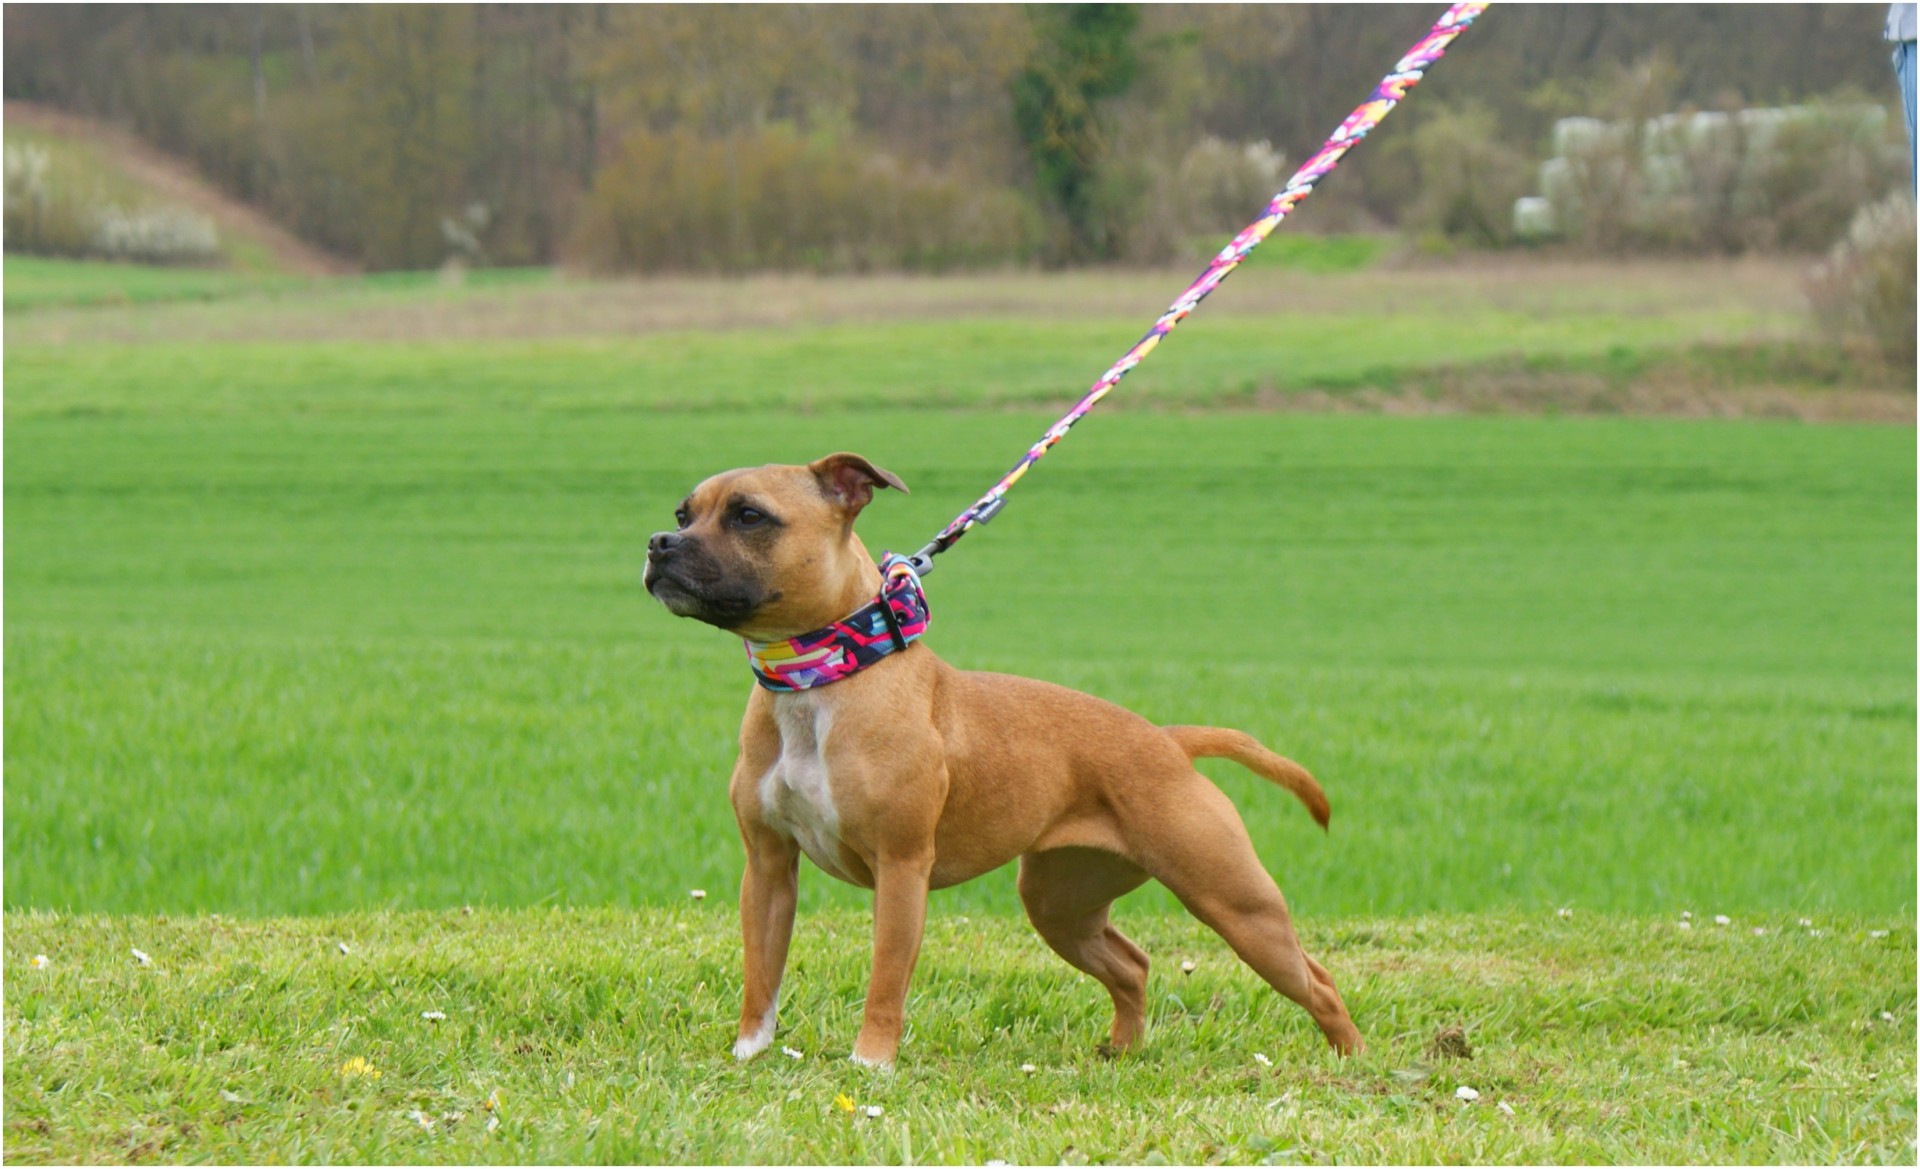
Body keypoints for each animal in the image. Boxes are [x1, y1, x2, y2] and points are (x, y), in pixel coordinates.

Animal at [648, 451, 1367, 1059]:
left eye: (750, 515)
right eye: (684, 514)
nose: (659, 543)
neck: (820, 676)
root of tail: (1168, 739)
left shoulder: (901, 867)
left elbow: (886, 979)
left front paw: (870, 1063)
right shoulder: (769, 866)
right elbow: (761, 971)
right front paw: (750, 1053)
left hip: (1236, 902)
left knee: (1317, 980)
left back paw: (1349, 1062)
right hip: (1061, 904)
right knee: (1131, 964)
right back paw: (1123, 1053)